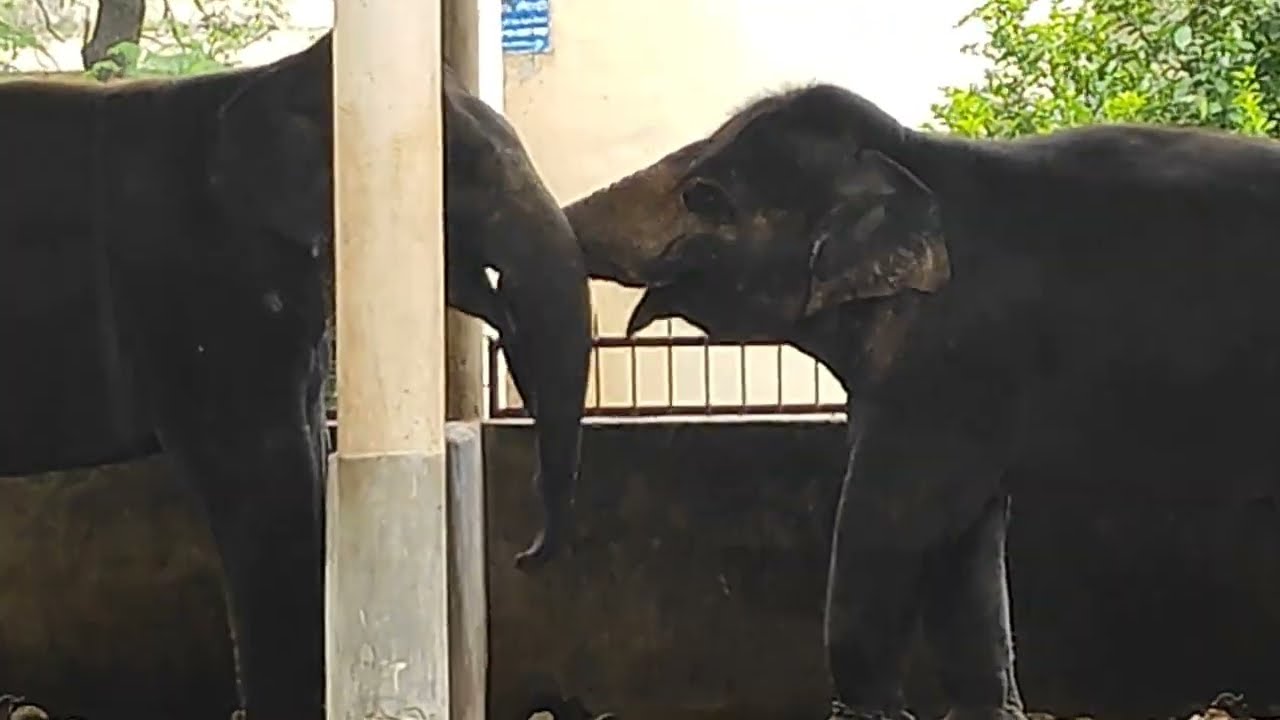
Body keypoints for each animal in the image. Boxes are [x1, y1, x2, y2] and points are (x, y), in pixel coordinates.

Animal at [0, 31, 590, 720]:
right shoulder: (205, 287)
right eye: (471, 171)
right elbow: (263, 479)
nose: (526, 556)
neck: (271, 85)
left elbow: (308, 460)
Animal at [563, 83, 1280, 720]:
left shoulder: (951, 363)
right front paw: (984, 714)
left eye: (703, 197)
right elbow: (965, 538)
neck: (913, 157)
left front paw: (868, 713)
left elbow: (890, 522)